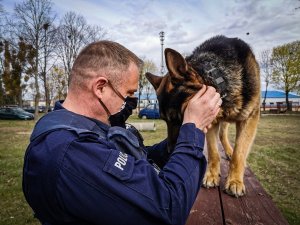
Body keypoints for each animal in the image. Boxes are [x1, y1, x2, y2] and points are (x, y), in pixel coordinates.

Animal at [146, 35, 260, 197]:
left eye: (180, 118)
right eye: (165, 120)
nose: (170, 152)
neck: (220, 78)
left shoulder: (250, 118)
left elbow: (239, 153)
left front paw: (235, 181)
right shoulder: (211, 121)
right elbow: (213, 152)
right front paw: (212, 175)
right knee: (222, 134)